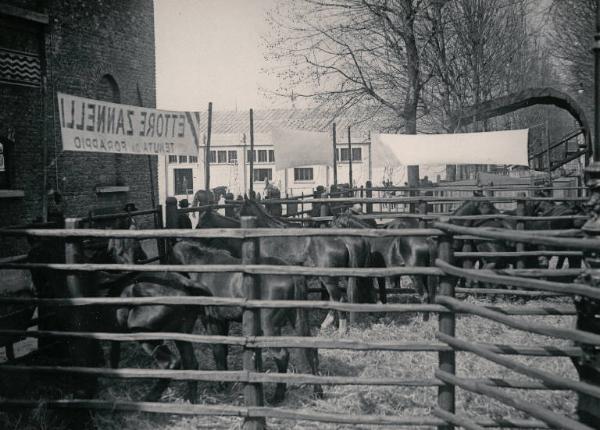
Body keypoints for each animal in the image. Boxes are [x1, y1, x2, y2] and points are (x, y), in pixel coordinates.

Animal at [171, 240, 322, 402]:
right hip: (298, 319)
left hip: (270, 327)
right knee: (311, 350)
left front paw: (222, 384)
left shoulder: (212, 321)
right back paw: (317, 392)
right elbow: (223, 350)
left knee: (282, 355)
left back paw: (277, 396)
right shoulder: (224, 321)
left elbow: (218, 350)